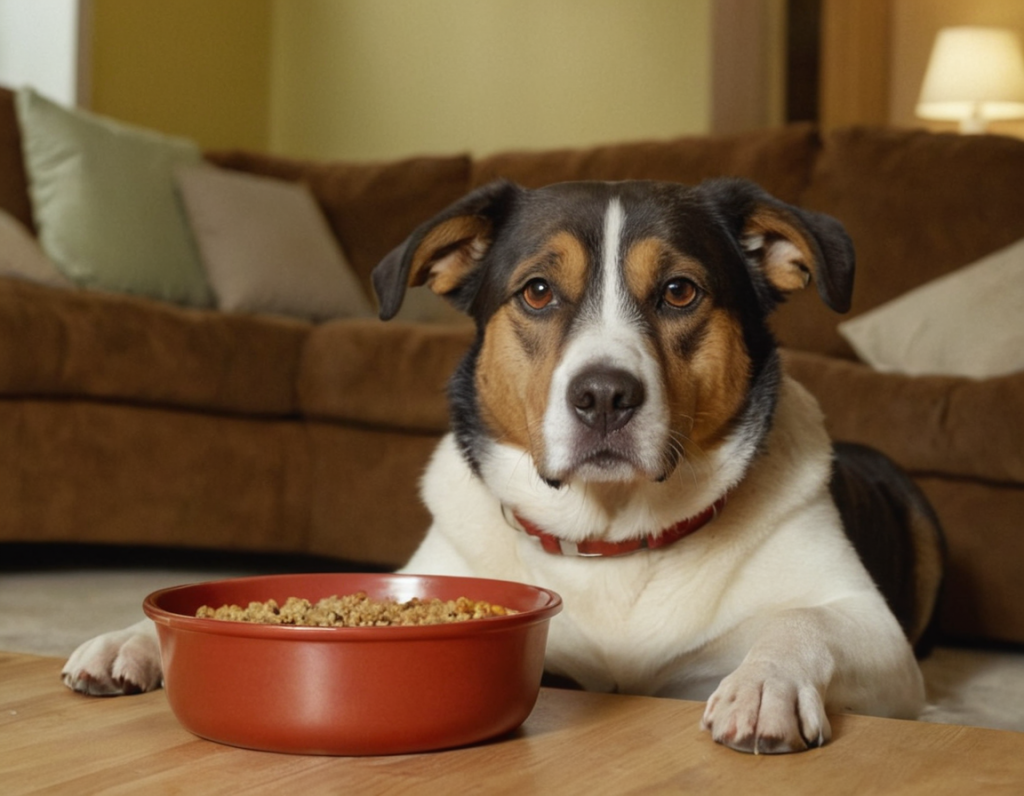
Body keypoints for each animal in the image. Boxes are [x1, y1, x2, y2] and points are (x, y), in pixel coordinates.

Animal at [64, 178, 942, 749]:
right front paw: (133, 641)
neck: (613, 537)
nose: (604, 396)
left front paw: (763, 687)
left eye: (681, 292)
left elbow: (801, 621)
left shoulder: (876, 637)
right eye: (539, 292)